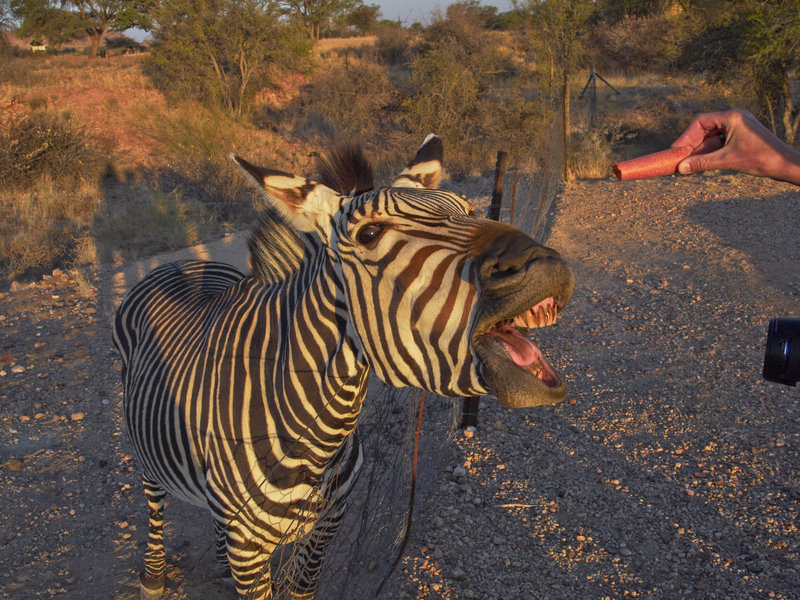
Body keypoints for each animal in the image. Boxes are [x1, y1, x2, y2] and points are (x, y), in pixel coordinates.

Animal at [112, 134, 576, 596]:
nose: (547, 269)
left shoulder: (330, 519)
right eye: (370, 233)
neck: (316, 440)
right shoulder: (250, 550)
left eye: (469, 210)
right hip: (146, 449)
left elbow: (304, 586)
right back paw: (153, 576)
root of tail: (181, 263)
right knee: (154, 501)